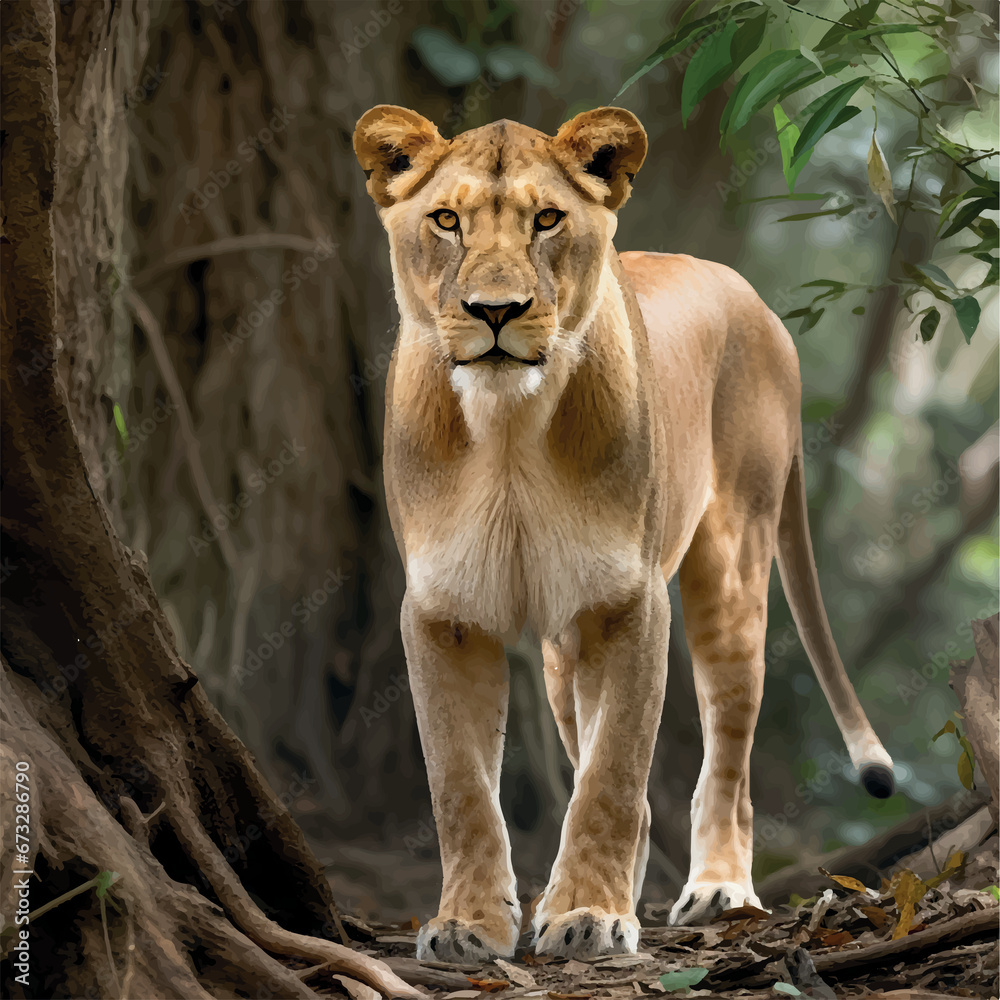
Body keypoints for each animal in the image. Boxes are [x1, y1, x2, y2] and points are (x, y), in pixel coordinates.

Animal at [353, 104, 894, 963]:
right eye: (445, 221)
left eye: (547, 220)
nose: (495, 312)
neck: (506, 431)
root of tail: (754, 298)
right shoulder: (445, 613)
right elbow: (460, 786)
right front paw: (468, 925)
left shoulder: (627, 604)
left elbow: (611, 775)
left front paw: (588, 915)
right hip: (559, 651)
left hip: (731, 562)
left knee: (728, 756)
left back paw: (719, 890)